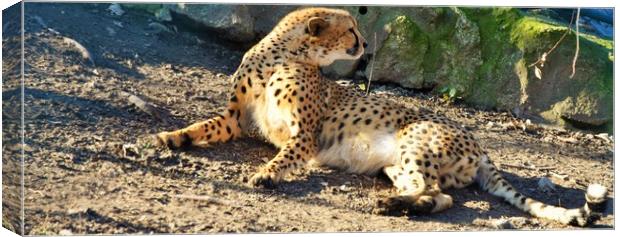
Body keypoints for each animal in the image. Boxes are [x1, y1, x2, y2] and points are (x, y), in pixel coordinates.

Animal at [153, 6, 608, 226]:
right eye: (351, 30)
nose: (366, 44)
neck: (285, 54)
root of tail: (480, 146)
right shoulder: (235, 118)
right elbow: (202, 126)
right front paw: (165, 138)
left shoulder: (304, 136)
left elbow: (283, 156)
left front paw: (266, 173)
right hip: (396, 165)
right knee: (437, 194)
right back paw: (400, 206)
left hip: (414, 142)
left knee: (435, 191)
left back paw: (390, 205)